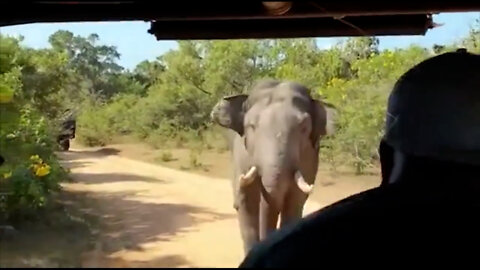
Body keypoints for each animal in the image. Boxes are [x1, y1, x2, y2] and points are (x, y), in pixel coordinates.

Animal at [212, 79, 336, 254]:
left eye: (304, 127)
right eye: (251, 126)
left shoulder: (309, 158)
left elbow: (294, 204)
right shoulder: (242, 155)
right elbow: (247, 204)